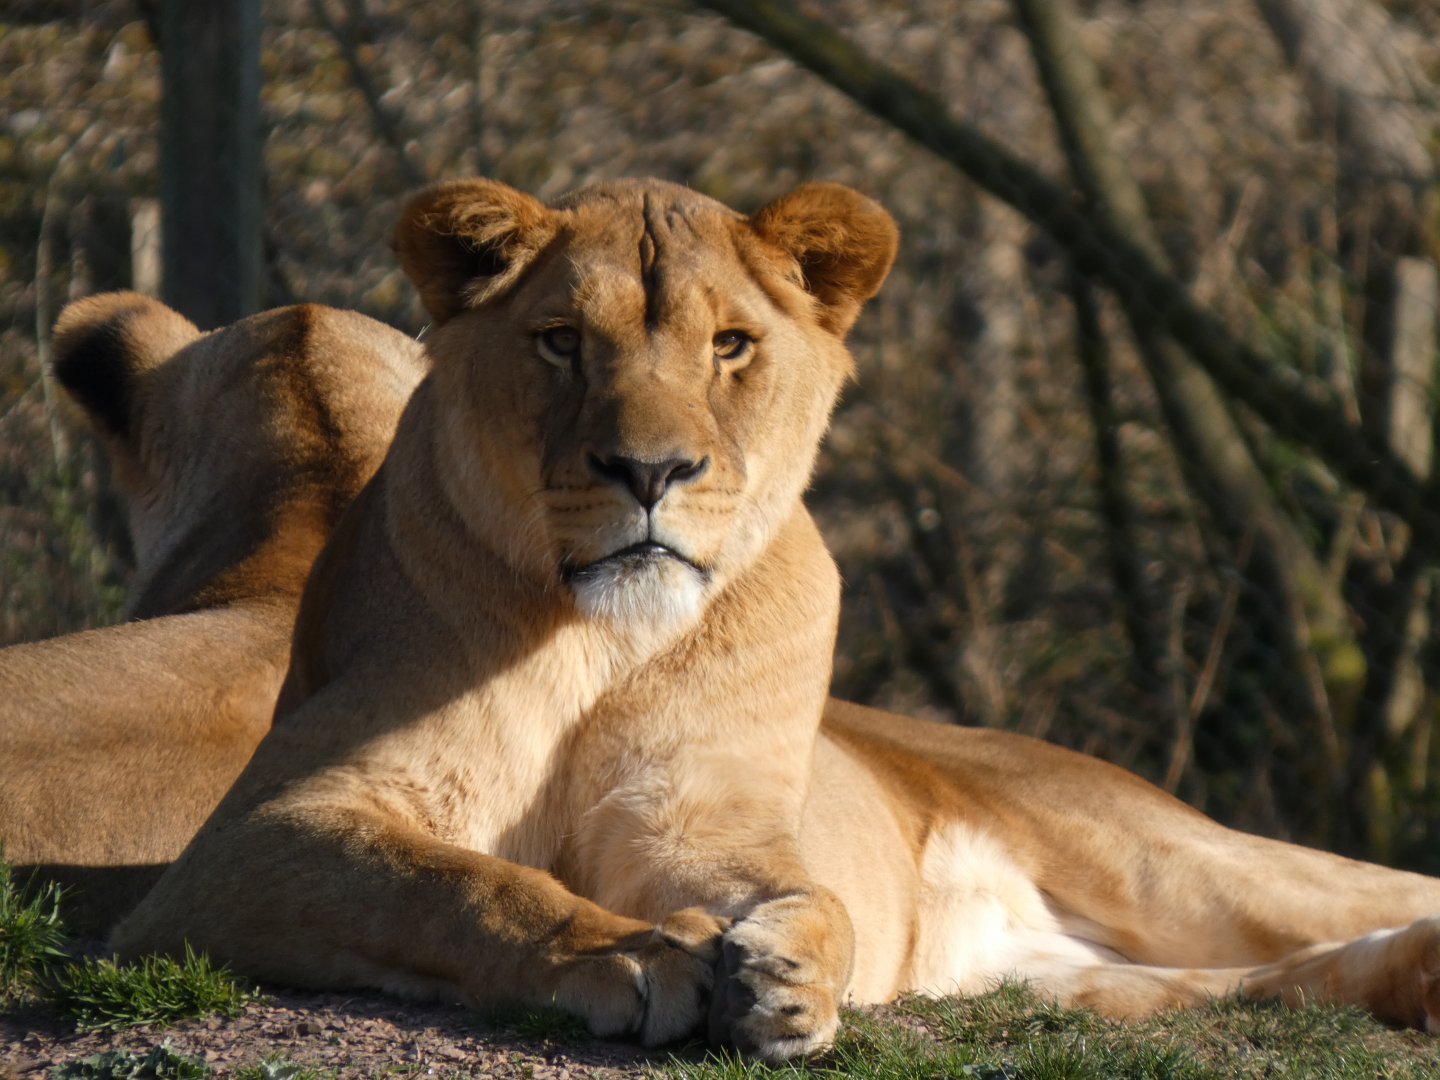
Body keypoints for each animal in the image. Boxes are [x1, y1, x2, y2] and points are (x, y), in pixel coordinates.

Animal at [115, 178, 1440, 1061]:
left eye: (731, 345)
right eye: (561, 341)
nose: (650, 470)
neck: (606, 639)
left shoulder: (705, 817)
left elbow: (807, 892)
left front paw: (786, 971)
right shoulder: (246, 845)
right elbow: (459, 883)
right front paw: (626, 953)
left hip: (1172, 861)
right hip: (1092, 981)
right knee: (1265, 980)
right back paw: (1413, 982)